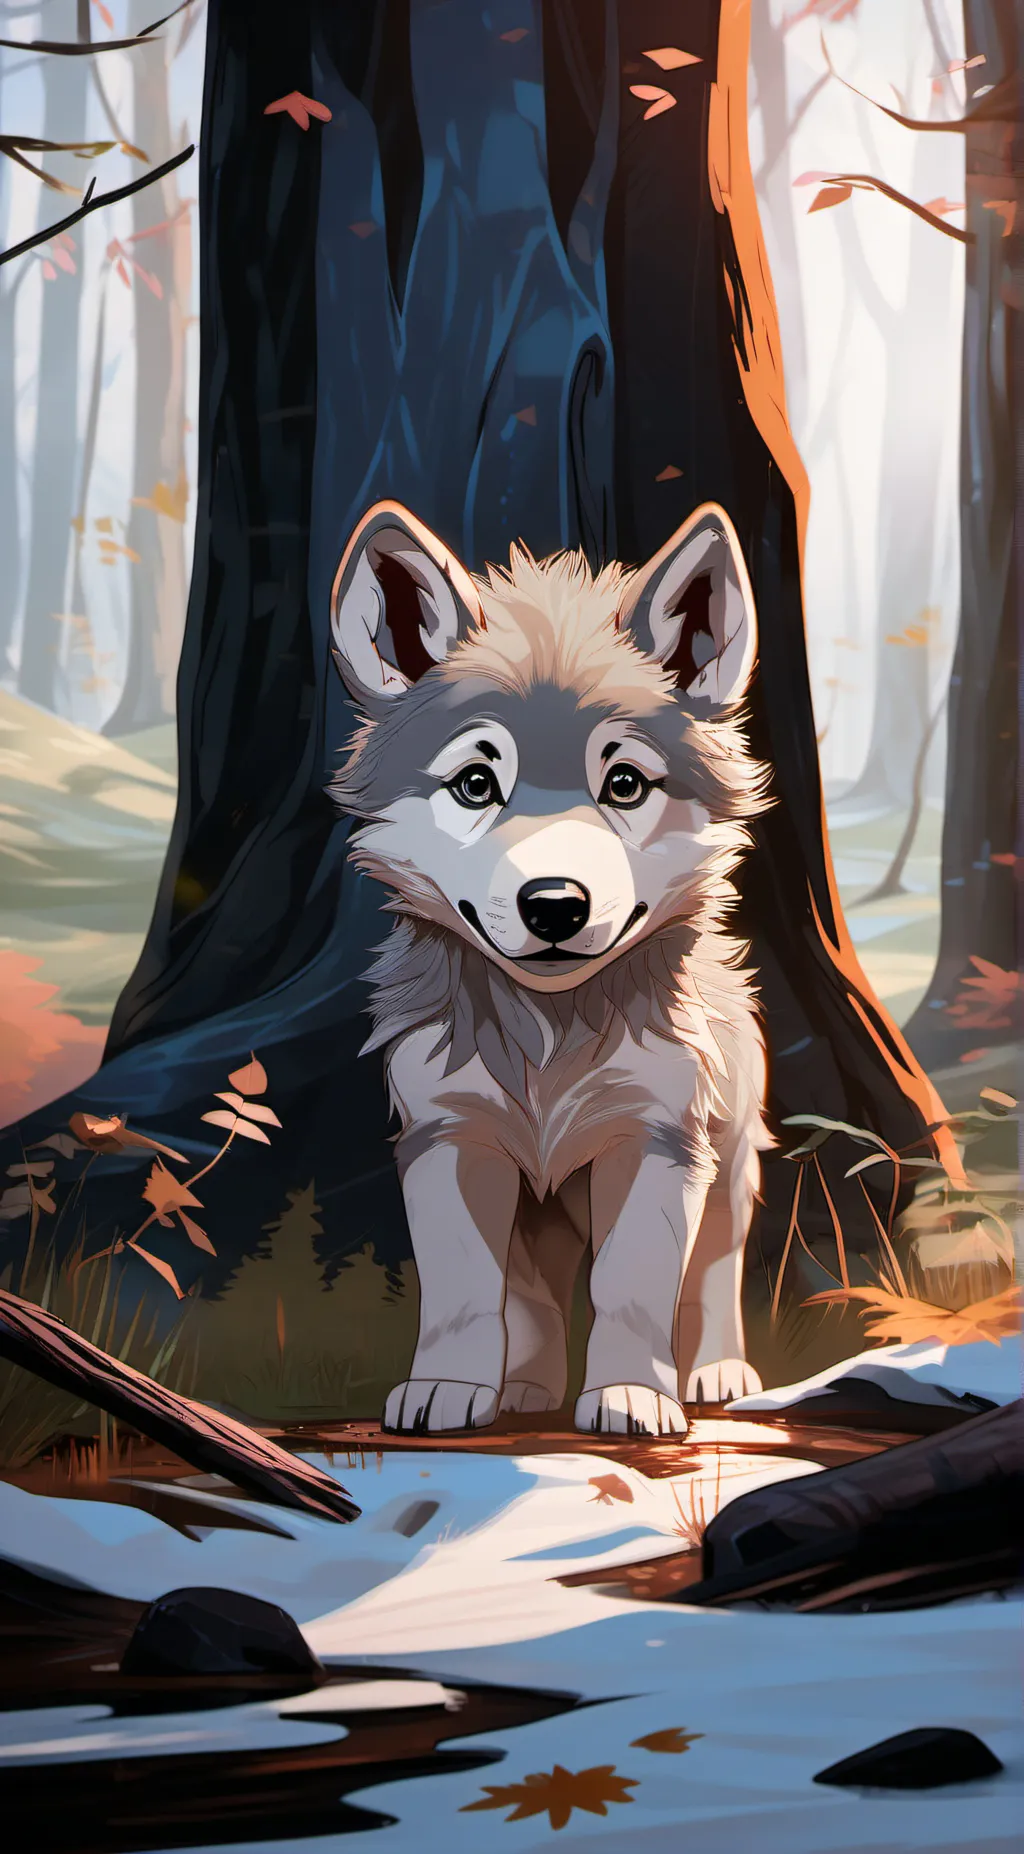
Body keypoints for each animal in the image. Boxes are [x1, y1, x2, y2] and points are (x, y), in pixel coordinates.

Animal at [329, 499, 773, 1437]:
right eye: (474, 783)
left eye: (626, 783)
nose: (557, 905)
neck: (549, 1033)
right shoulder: (449, 1139)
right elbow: (467, 1291)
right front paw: (448, 1389)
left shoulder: (657, 1141)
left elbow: (633, 1286)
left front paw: (633, 1397)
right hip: (542, 1203)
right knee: (531, 1294)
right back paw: (524, 1390)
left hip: (728, 1163)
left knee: (714, 1272)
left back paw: (716, 1375)